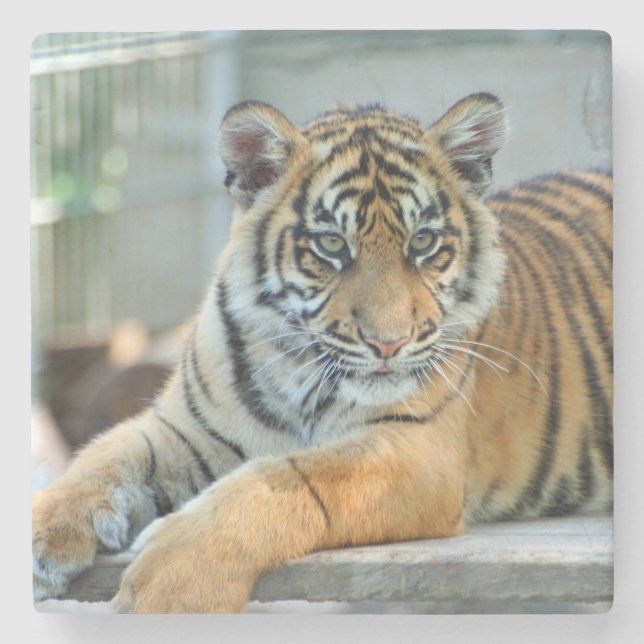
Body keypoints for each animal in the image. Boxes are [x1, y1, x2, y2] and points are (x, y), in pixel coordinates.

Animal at [32, 93, 613, 613]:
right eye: (332, 245)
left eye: (423, 242)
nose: (388, 342)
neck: (297, 370)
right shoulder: (187, 430)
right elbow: (103, 458)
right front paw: (41, 533)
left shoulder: (418, 449)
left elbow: (288, 479)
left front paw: (170, 585)